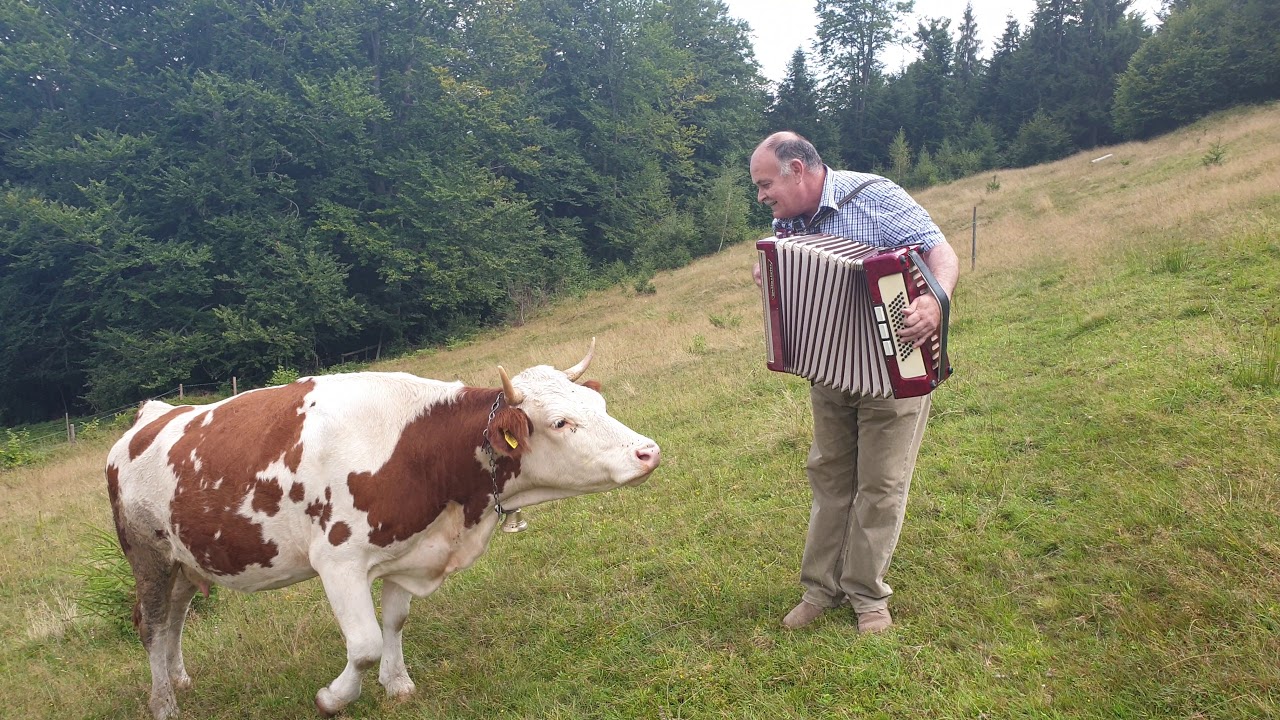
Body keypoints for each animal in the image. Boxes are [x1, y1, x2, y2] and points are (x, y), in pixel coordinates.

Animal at [107, 338, 660, 712]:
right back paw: (163, 703)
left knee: (175, 618)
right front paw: (333, 697)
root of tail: (152, 415)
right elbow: (365, 644)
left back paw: (178, 679)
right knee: (152, 625)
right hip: (148, 556)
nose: (648, 451)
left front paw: (398, 685)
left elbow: (393, 623)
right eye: (561, 422)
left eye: (599, 405)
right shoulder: (338, 562)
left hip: (184, 559)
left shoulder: (409, 550)